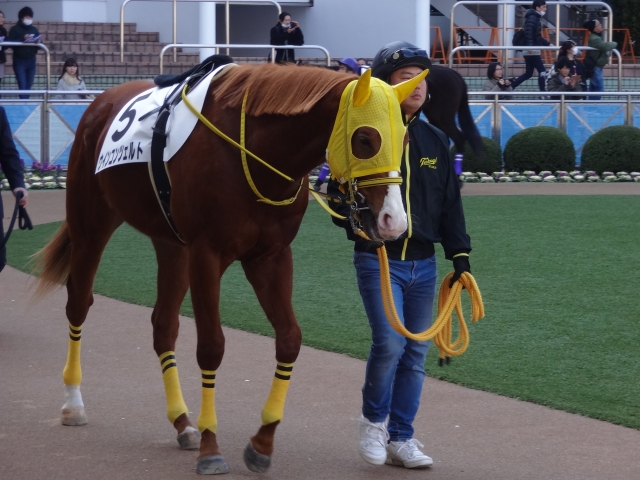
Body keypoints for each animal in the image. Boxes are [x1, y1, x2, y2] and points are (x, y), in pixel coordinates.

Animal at [32, 63, 427, 475]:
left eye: (404, 138)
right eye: (365, 139)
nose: (394, 222)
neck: (254, 151)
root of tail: (103, 101)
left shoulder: (270, 257)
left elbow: (289, 339)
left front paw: (262, 443)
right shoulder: (207, 254)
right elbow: (211, 346)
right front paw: (211, 447)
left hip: (171, 244)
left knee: (163, 325)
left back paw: (182, 422)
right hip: (90, 224)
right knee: (79, 302)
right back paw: (73, 404)